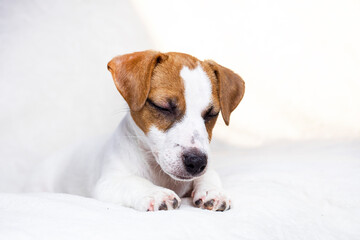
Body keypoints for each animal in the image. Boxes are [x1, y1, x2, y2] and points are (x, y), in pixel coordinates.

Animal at [31, 49, 245, 211]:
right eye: (163, 107)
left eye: (211, 114)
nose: (197, 161)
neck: (160, 173)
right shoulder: (107, 183)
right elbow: (133, 182)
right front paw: (155, 193)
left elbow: (209, 174)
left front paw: (213, 191)